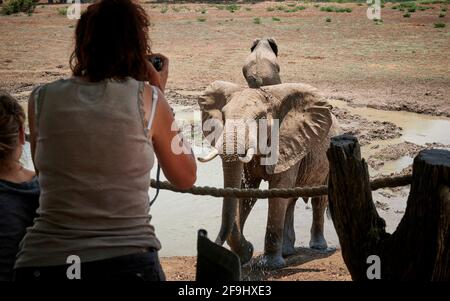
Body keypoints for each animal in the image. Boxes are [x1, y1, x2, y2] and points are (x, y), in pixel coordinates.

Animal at [198, 80, 342, 270]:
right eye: (223, 115)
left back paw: (318, 247)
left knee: (318, 199)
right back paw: (287, 251)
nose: (209, 239)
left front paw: (269, 265)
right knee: (290, 200)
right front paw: (245, 255)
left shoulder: (288, 141)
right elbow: (247, 192)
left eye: (260, 118)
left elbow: (277, 189)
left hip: (328, 161)